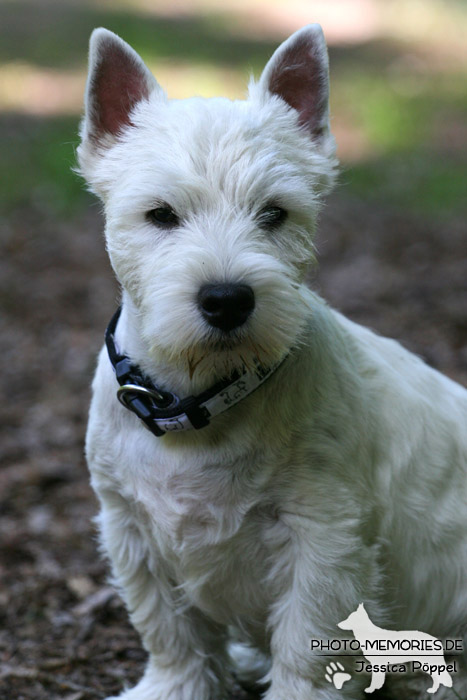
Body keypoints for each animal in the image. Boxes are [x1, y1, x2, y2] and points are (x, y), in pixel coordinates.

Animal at [78, 23, 467, 700]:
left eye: (274, 213)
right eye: (160, 214)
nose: (227, 299)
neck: (202, 396)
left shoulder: (325, 535)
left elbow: (307, 639)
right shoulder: (129, 527)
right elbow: (168, 629)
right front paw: (172, 686)